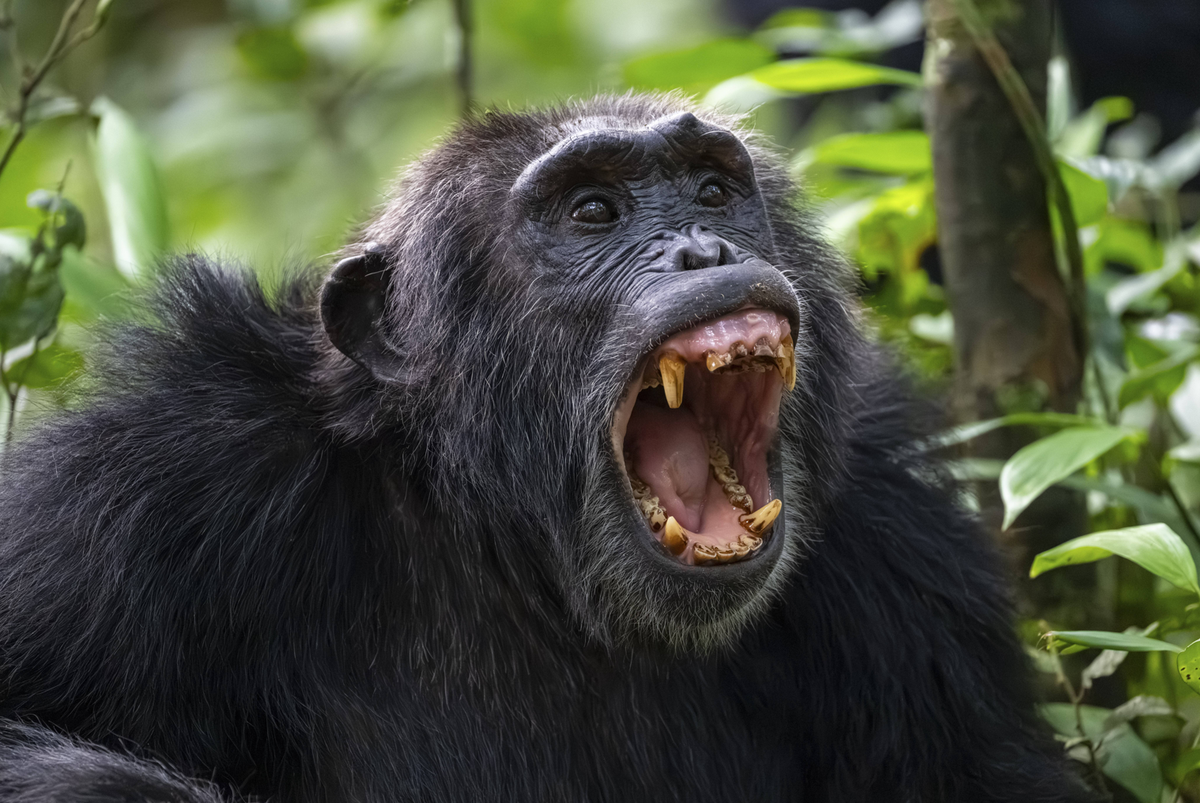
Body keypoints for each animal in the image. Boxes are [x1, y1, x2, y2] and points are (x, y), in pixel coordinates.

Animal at [0, 94, 1096, 802]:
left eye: (711, 191)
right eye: (594, 213)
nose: (702, 249)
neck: (515, 554)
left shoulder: (903, 551)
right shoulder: (145, 489)